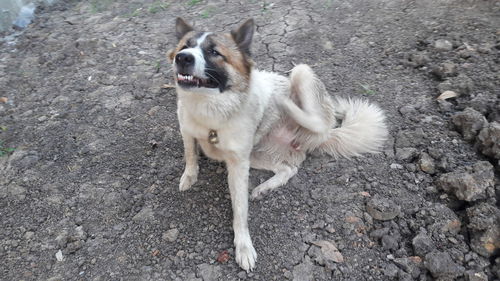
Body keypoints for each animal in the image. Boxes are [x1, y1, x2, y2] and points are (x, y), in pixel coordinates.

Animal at [166, 17, 388, 272]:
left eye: (214, 52)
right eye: (185, 46)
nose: (182, 57)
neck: (210, 111)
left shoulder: (238, 165)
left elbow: (240, 210)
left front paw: (243, 247)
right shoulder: (187, 130)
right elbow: (190, 154)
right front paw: (189, 176)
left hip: (301, 73)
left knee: (319, 123)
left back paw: (286, 104)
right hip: (257, 154)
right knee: (288, 168)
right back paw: (265, 188)